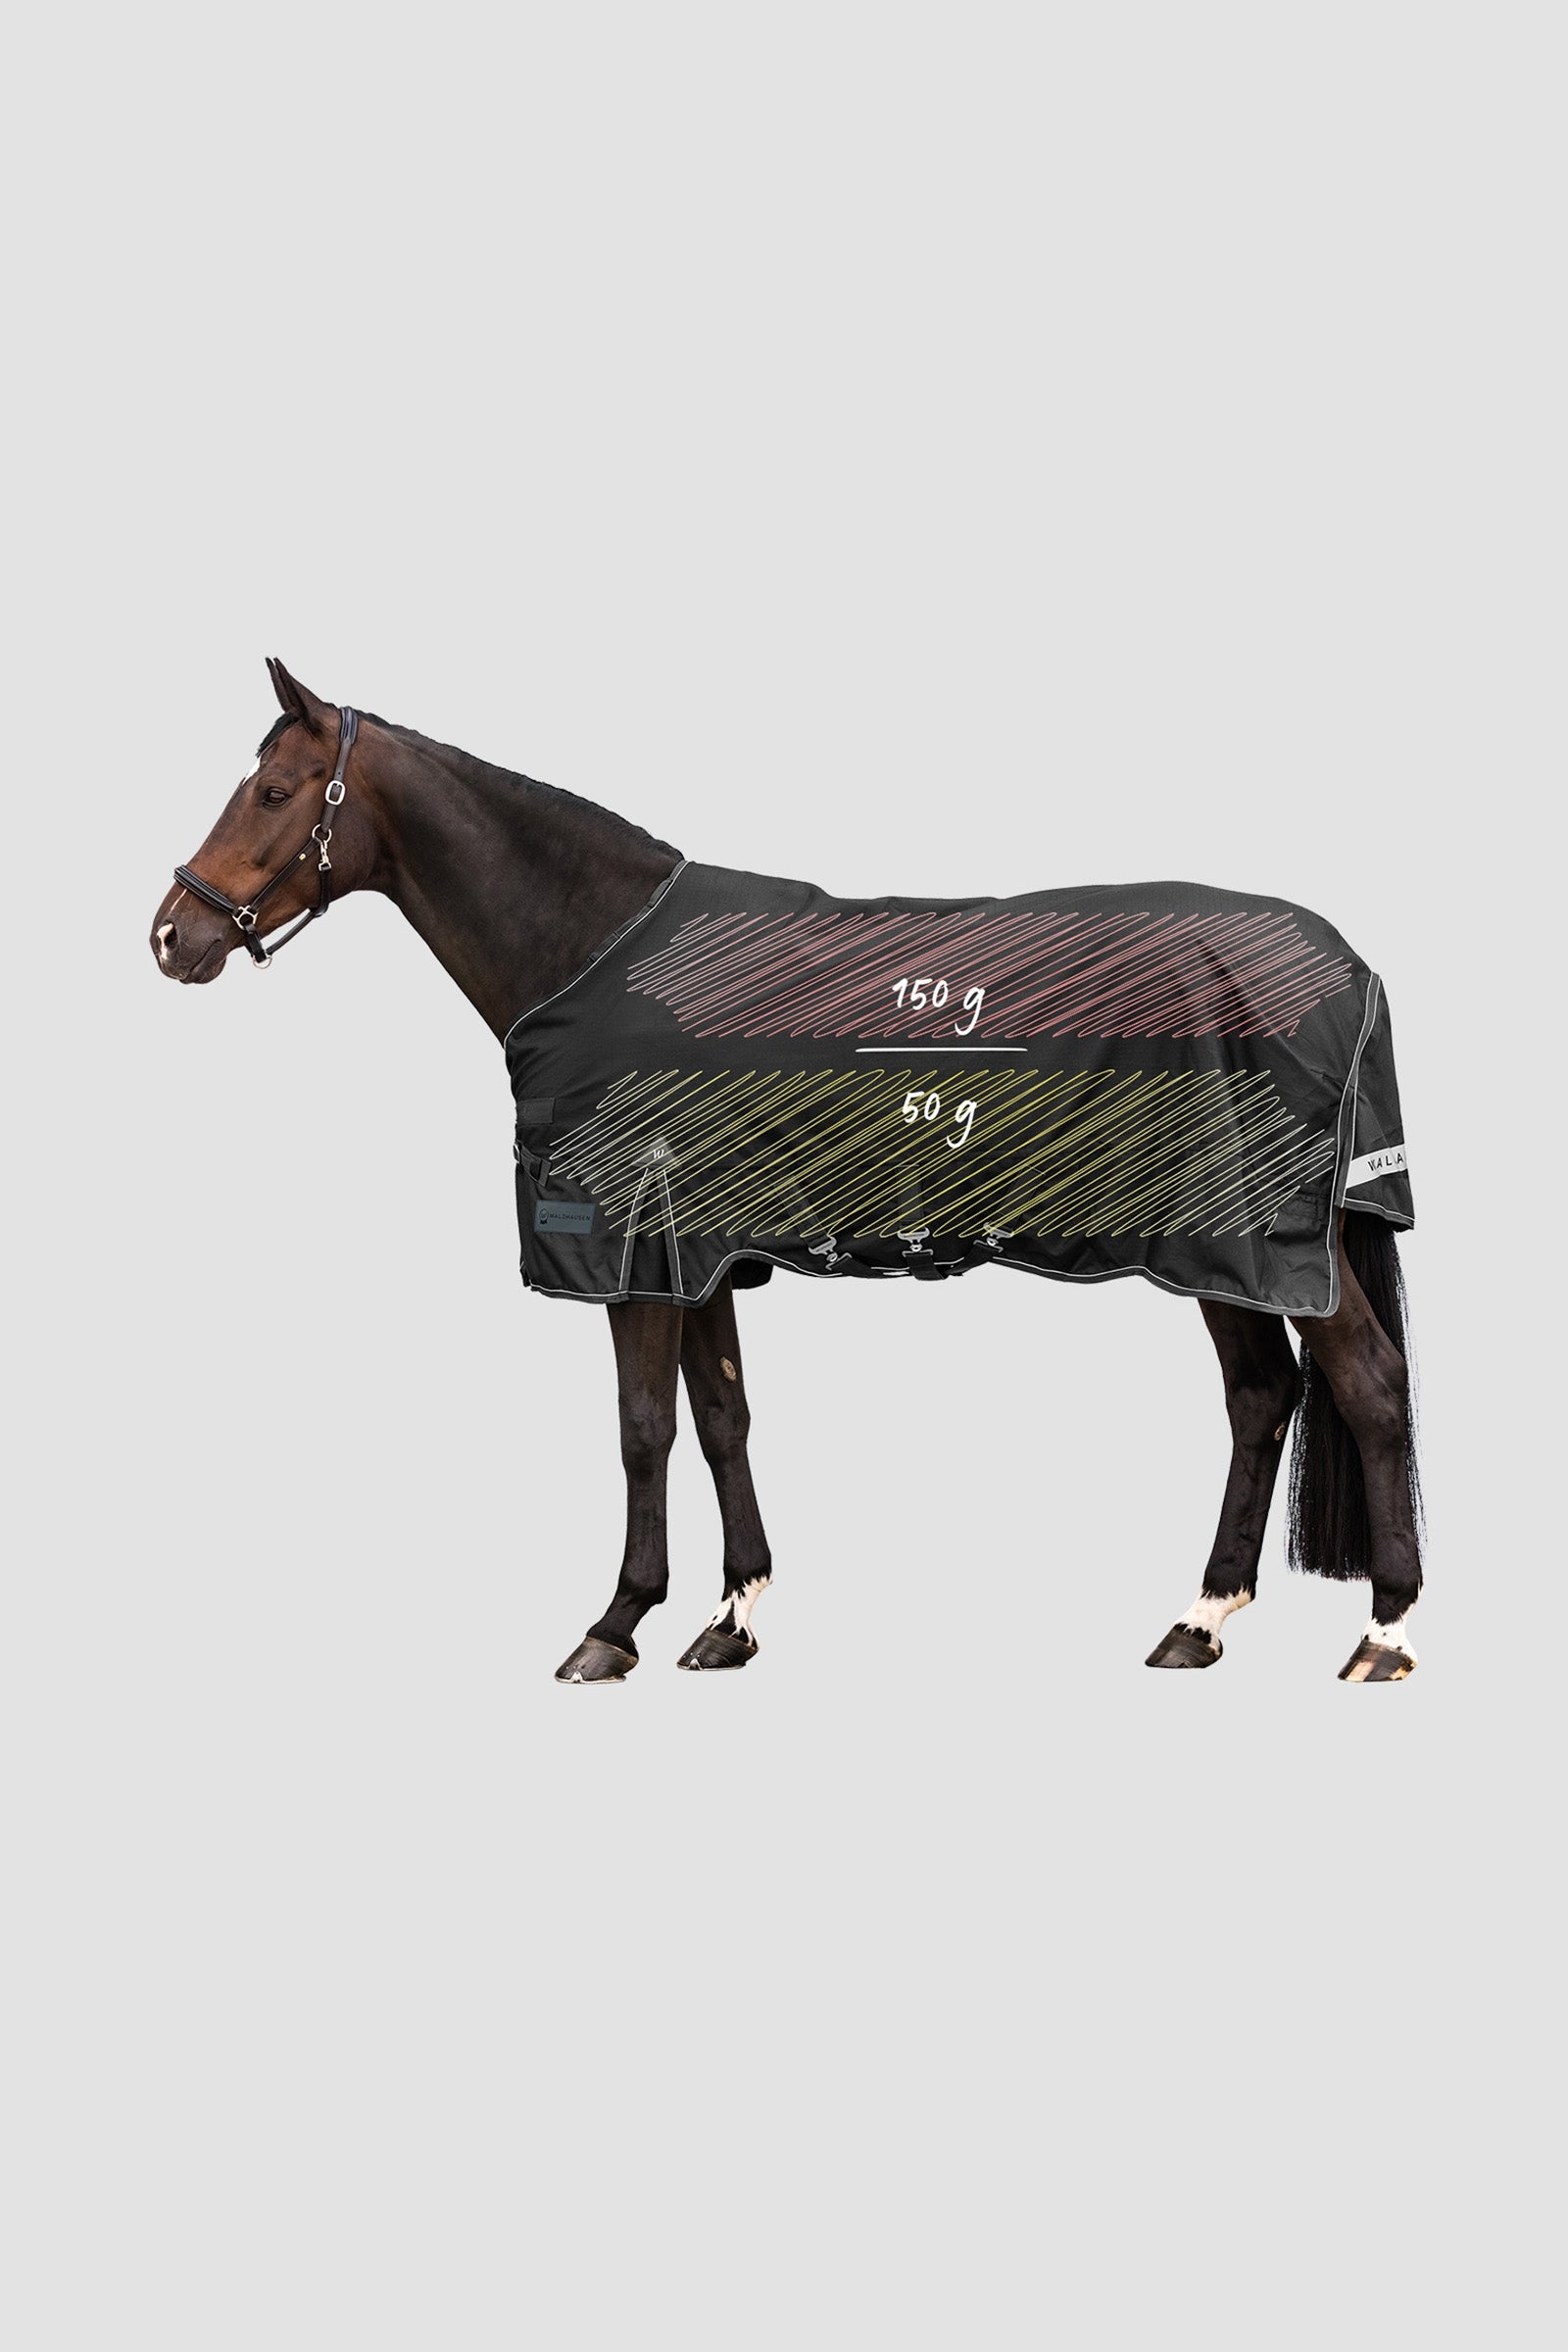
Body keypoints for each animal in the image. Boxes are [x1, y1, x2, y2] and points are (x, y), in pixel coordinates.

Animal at [150, 661, 1423, 1686]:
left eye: (274, 793)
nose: (171, 935)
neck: (596, 947)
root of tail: (1347, 966)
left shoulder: (631, 1250)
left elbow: (641, 1431)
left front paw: (612, 1627)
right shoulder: (702, 1254)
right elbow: (722, 1418)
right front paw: (730, 1619)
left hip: (1263, 1240)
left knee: (1364, 1382)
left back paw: (1385, 1634)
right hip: (1221, 1249)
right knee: (1259, 1398)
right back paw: (1199, 1622)